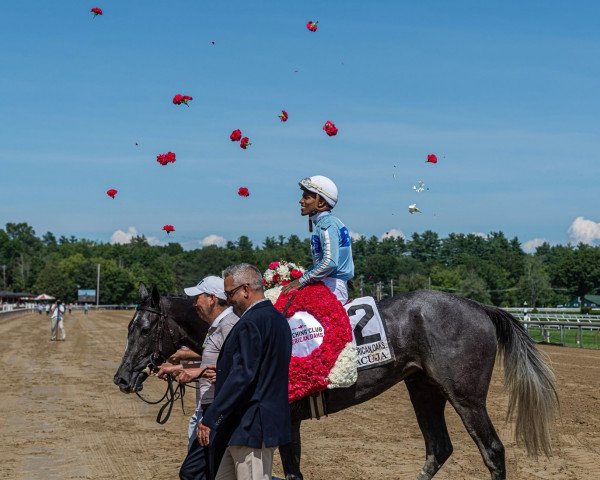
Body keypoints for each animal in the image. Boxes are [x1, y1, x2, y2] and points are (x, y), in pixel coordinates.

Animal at [113, 284, 556, 480]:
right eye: (129, 326)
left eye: (145, 328)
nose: (121, 377)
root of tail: (480, 307)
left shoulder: (284, 421)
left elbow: (292, 472)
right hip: (423, 389)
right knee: (439, 447)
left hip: (465, 396)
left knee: (492, 450)